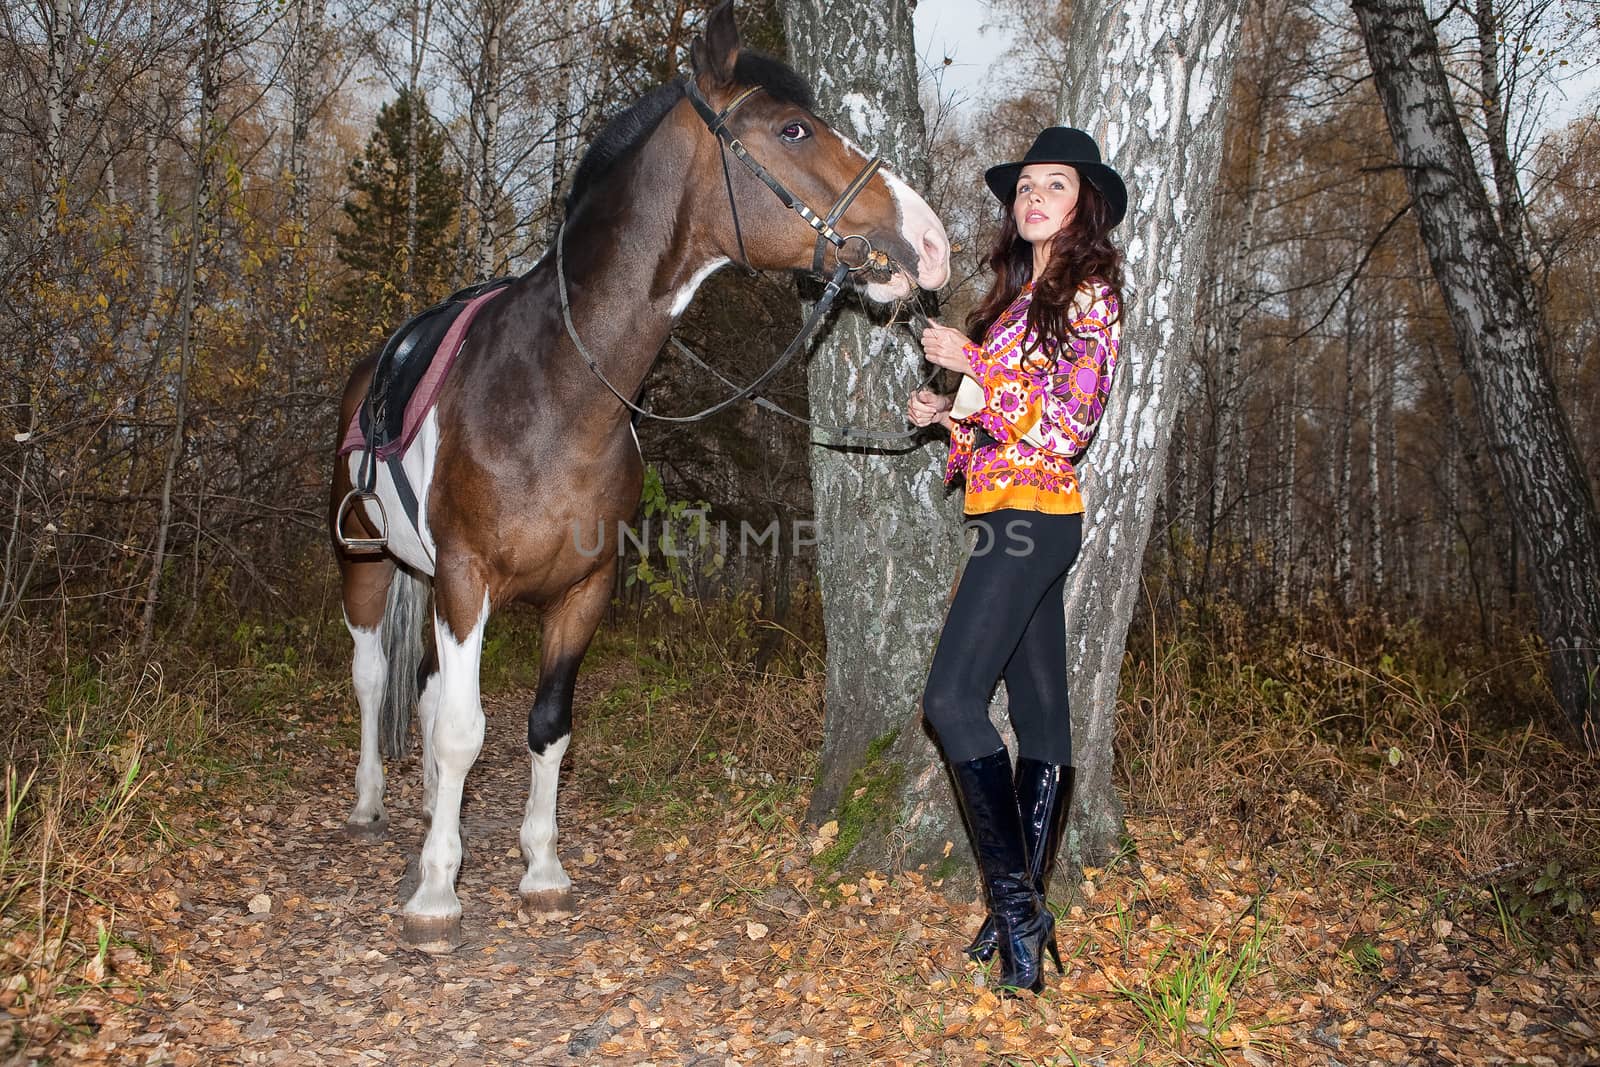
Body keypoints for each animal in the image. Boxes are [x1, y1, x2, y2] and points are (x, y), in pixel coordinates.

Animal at [326, 0, 947, 953]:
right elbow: (469, 730)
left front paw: (539, 868)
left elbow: (545, 727)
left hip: (423, 580)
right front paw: (436, 890)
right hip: (367, 563)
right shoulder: (468, 580)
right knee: (371, 676)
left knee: (425, 696)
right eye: (793, 129)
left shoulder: (585, 587)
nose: (931, 243)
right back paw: (370, 804)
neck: (554, 389)